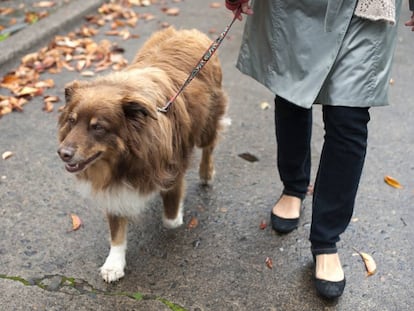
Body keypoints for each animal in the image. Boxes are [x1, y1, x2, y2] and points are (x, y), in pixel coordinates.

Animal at [57, 27, 230, 282]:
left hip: (207, 121)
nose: (63, 153)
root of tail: (188, 32)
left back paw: (206, 173)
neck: (125, 159)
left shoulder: (172, 168)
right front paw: (114, 263)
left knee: (209, 146)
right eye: (71, 120)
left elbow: (171, 219)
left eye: (98, 127)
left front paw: (174, 213)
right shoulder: (113, 187)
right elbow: (116, 230)